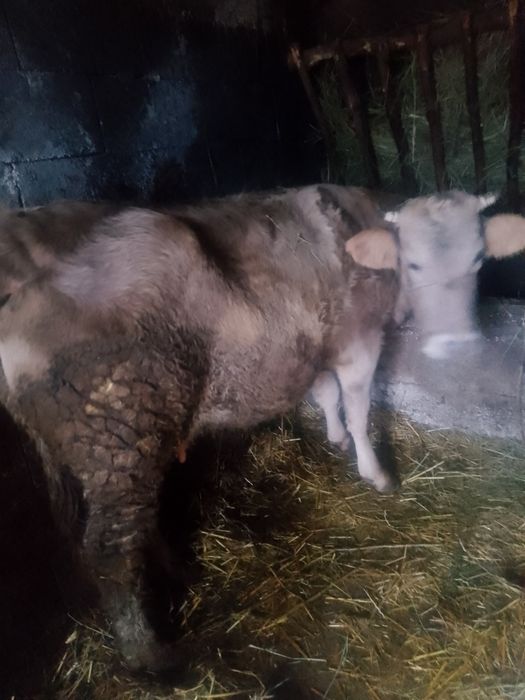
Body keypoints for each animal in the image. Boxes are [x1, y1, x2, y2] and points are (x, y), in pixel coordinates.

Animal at [0, 185, 524, 672]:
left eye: (478, 258)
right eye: (412, 264)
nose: (456, 344)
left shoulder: (314, 341)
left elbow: (325, 393)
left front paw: (334, 437)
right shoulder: (358, 339)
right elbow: (357, 406)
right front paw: (374, 472)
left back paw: (175, 573)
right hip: (117, 434)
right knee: (110, 549)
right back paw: (150, 654)